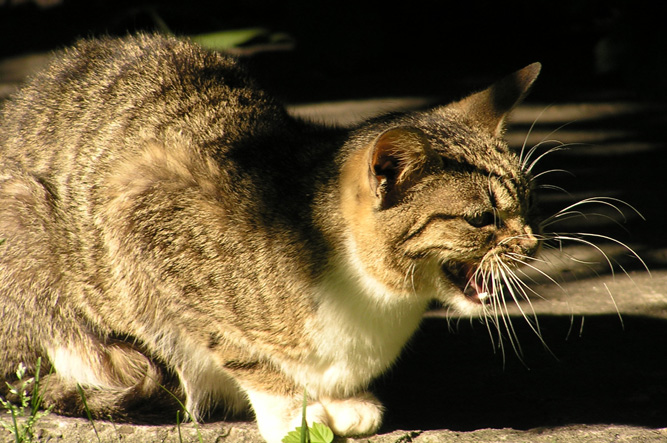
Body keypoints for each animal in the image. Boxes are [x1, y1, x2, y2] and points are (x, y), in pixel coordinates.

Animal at [0, 33, 544, 442]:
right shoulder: (142, 209)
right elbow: (234, 346)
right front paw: (289, 410)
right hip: (25, 216)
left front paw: (337, 400)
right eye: (482, 219)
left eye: (526, 202)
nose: (531, 245)